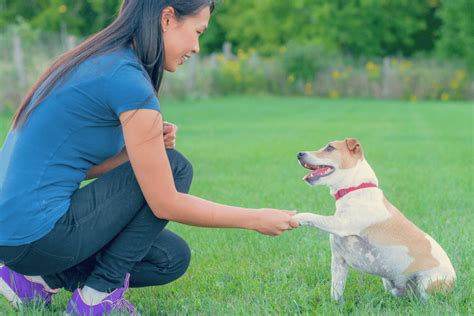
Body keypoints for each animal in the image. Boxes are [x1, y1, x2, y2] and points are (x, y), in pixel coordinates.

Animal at [296, 138, 456, 302]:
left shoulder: (342, 224)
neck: (355, 189)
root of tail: (454, 282)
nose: (299, 154)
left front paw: (295, 217)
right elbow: (336, 290)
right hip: (390, 283)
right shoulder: (338, 260)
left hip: (427, 283)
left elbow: (312, 216)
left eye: (330, 148)